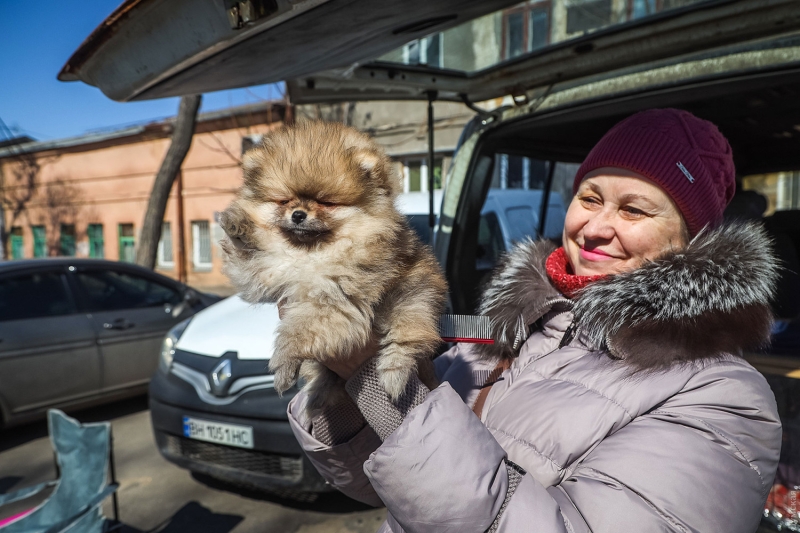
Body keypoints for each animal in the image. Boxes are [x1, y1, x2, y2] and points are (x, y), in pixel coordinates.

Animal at [216, 120, 446, 412]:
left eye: (326, 202)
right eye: (284, 201)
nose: (298, 214)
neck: (312, 253)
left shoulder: (336, 300)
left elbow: (298, 330)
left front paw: (283, 362)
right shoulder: (268, 271)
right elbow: (247, 262)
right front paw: (238, 223)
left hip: (414, 297)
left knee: (409, 337)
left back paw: (393, 376)